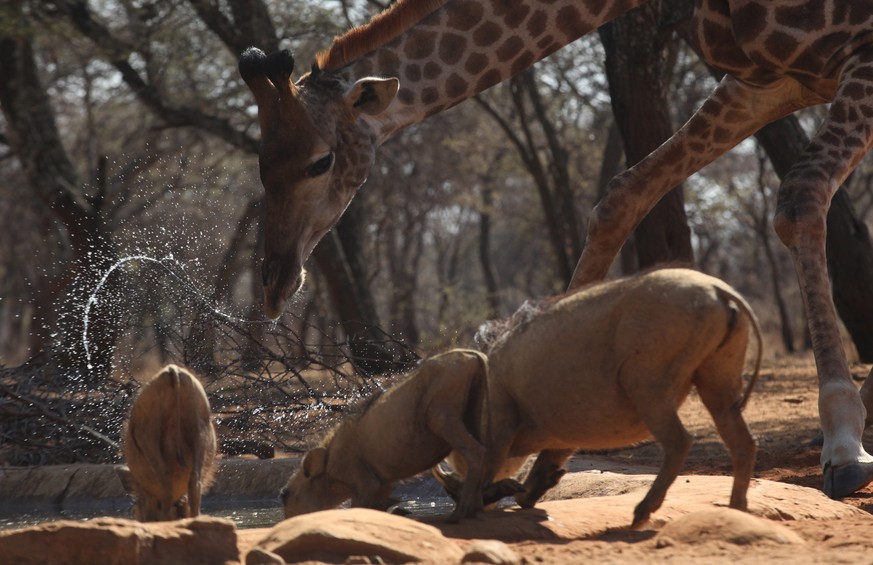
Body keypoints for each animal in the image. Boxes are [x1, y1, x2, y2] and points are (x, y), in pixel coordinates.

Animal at [242, 0, 872, 496]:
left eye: (320, 161)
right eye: (260, 164)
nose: (274, 281)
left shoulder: (858, 51)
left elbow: (800, 197)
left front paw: (844, 443)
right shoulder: (765, 80)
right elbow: (621, 196)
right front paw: (536, 443)